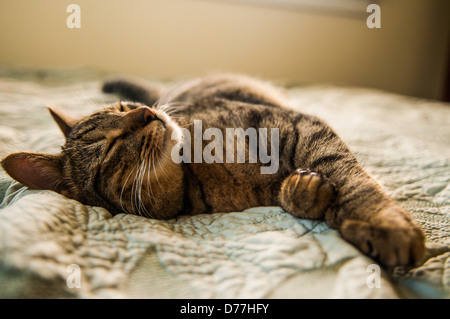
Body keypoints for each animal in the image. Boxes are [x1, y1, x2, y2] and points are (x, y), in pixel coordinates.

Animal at [0, 74, 424, 268]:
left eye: (123, 109)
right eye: (108, 146)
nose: (146, 112)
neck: (195, 173)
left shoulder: (296, 126)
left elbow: (353, 182)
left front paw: (382, 224)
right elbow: (309, 190)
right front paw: (305, 192)